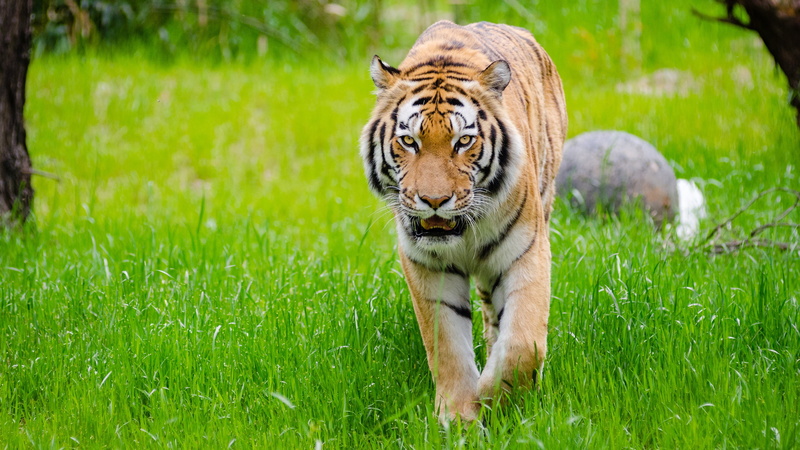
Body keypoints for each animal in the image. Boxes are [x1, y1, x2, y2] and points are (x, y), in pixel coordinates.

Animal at [360, 20, 567, 422]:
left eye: (464, 141)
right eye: (408, 141)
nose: (434, 201)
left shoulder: (526, 250)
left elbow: (523, 343)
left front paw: (493, 396)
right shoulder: (426, 265)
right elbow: (446, 344)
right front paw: (459, 416)